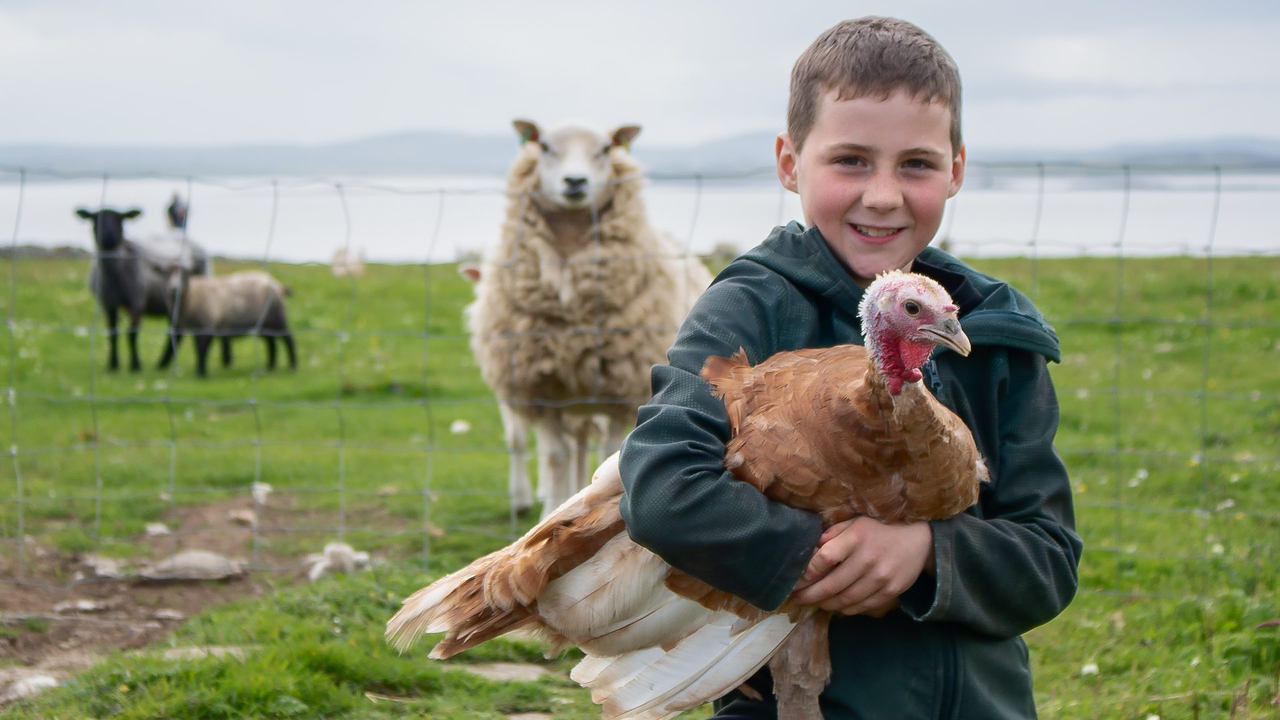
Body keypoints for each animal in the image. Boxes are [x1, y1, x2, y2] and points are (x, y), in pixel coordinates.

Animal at [162, 265, 294, 376]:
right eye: (167, 275)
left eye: (184, 275)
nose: (174, 289)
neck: (192, 295)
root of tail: (279, 285)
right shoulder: (195, 327)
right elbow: (194, 349)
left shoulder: (208, 324)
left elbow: (202, 349)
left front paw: (201, 372)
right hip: (264, 323)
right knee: (271, 342)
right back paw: (270, 366)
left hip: (276, 316)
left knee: (288, 338)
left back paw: (293, 365)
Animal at [468, 120, 716, 517]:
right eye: (545, 147)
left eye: (604, 149)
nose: (575, 182)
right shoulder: (544, 390)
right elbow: (555, 457)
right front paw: (550, 509)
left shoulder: (622, 393)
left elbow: (613, 455)